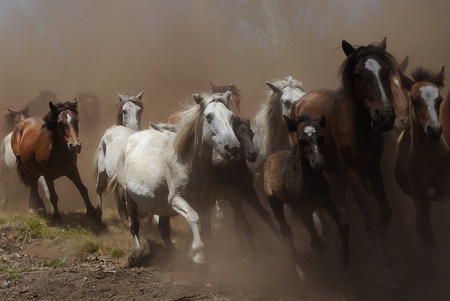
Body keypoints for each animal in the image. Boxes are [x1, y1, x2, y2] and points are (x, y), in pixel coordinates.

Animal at [111, 91, 241, 264]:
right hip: (129, 199)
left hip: (160, 206)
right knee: (135, 226)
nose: (233, 148)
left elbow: (206, 228)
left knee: (163, 229)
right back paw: (138, 253)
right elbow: (193, 217)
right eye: (208, 116)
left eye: (231, 116)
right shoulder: (175, 199)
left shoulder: (206, 204)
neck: (189, 164)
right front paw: (198, 254)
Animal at [264, 114, 352, 278]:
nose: (318, 163)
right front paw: (324, 271)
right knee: (285, 230)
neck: (310, 181)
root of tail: (271, 156)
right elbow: (315, 242)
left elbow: (343, 225)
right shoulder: (304, 211)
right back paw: (298, 264)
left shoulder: (326, 200)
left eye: (321, 136)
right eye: (300, 139)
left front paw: (344, 259)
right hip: (275, 202)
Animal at [288, 37, 398, 282]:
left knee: (338, 196)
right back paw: (329, 240)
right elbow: (370, 222)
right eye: (358, 75)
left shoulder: (373, 167)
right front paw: (385, 271)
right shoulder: (355, 172)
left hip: (337, 170)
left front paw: (386, 245)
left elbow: (385, 211)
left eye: (386, 71)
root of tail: (299, 102)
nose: (385, 117)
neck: (357, 126)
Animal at [394, 66, 446, 253]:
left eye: (439, 100)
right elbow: (422, 222)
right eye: (415, 101)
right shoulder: (416, 189)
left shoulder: (445, 182)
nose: (434, 130)